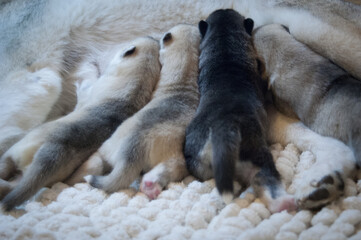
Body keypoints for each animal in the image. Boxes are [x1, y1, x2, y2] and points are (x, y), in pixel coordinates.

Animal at [0, 37, 160, 210]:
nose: (153, 37)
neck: (138, 85)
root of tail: (53, 152)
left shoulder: (90, 93)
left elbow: (85, 88)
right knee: (10, 186)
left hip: (14, 151)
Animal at [183, 8, 296, 212]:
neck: (224, 43)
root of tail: (223, 127)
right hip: (258, 156)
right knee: (266, 179)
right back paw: (285, 202)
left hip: (197, 161)